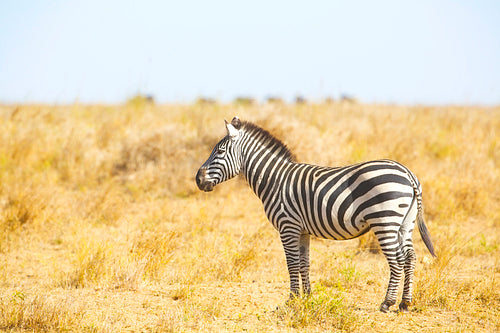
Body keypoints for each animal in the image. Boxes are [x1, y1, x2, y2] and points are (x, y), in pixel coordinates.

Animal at [193, 116, 436, 312]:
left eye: (220, 151)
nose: (198, 179)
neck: (275, 179)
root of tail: (407, 172)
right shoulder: (302, 231)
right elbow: (304, 263)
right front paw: (307, 297)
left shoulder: (288, 226)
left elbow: (292, 263)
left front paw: (291, 300)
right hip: (405, 223)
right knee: (411, 257)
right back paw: (405, 303)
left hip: (384, 221)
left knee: (397, 260)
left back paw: (387, 303)